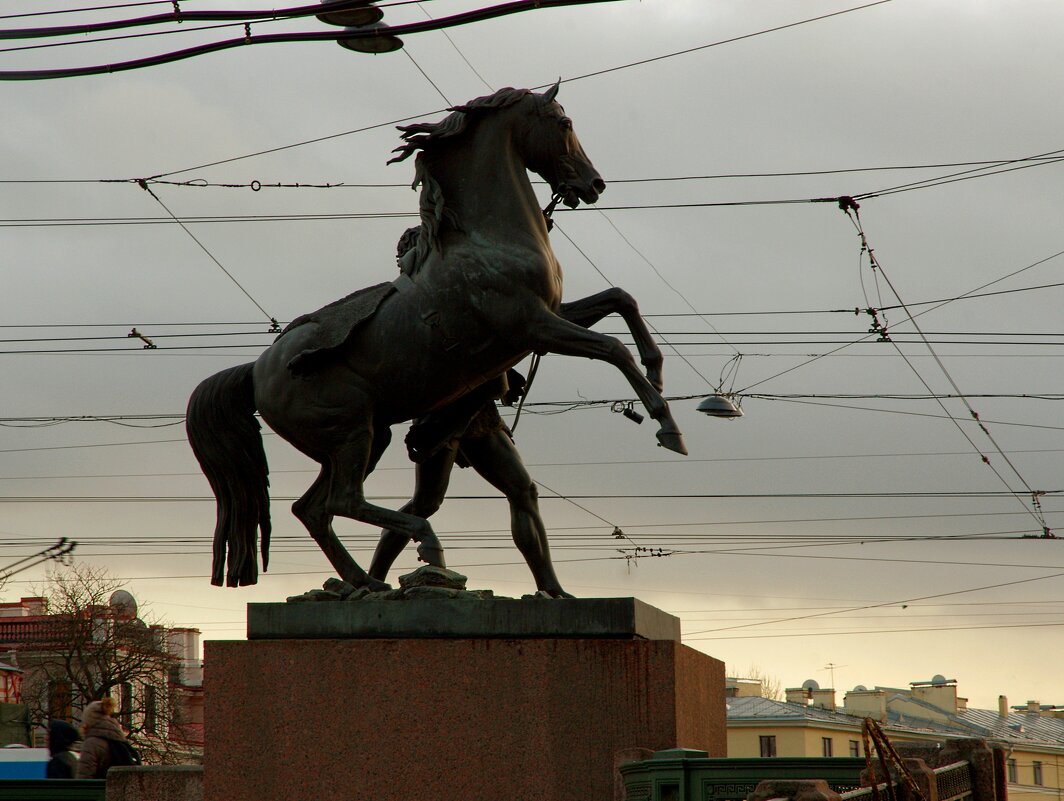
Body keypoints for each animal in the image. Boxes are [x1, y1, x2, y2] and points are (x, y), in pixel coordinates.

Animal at [186, 84, 685, 587]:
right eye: (564, 124)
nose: (594, 184)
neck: (487, 238)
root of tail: (255, 371)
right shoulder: (532, 326)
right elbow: (612, 348)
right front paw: (667, 425)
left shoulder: (548, 319)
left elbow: (620, 299)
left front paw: (657, 370)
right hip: (353, 432)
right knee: (344, 501)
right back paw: (422, 549)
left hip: (365, 439)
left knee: (312, 509)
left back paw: (365, 584)